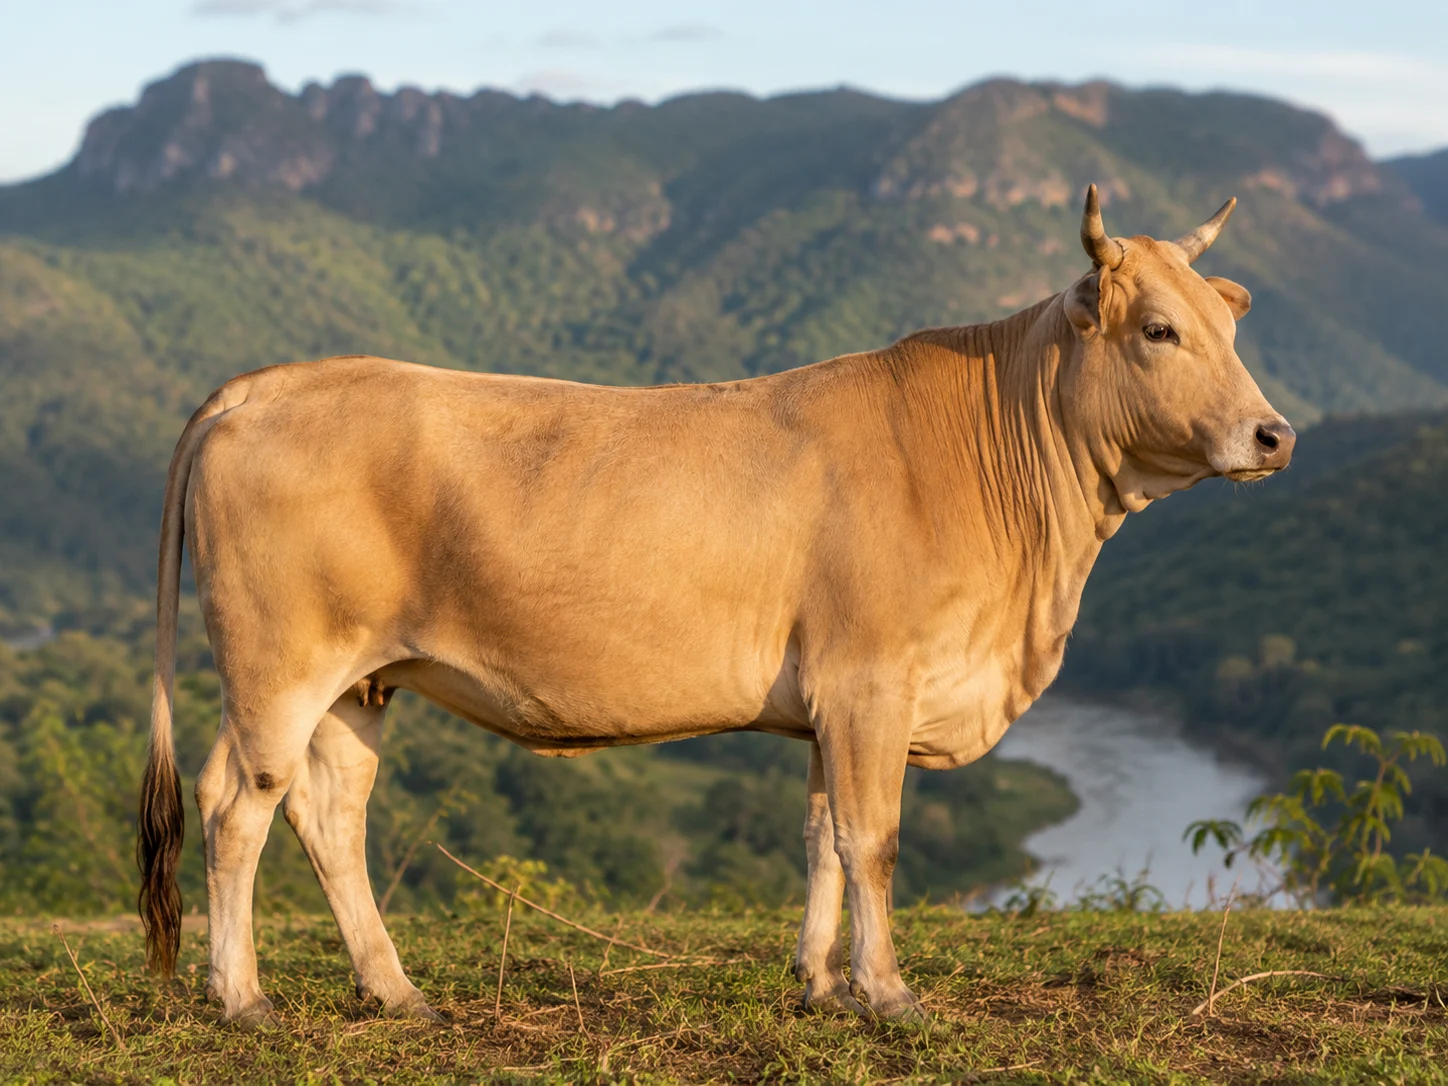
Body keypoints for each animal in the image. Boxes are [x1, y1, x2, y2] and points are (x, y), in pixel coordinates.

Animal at [138, 186, 1294, 1027]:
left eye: (1226, 328)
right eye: (1158, 330)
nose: (1273, 434)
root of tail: (263, 382)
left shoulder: (831, 698)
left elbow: (821, 834)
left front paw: (819, 984)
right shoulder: (872, 681)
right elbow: (872, 838)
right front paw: (888, 994)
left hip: (360, 677)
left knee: (330, 812)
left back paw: (395, 991)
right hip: (278, 666)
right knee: (240, 803)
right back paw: (242, 1000)